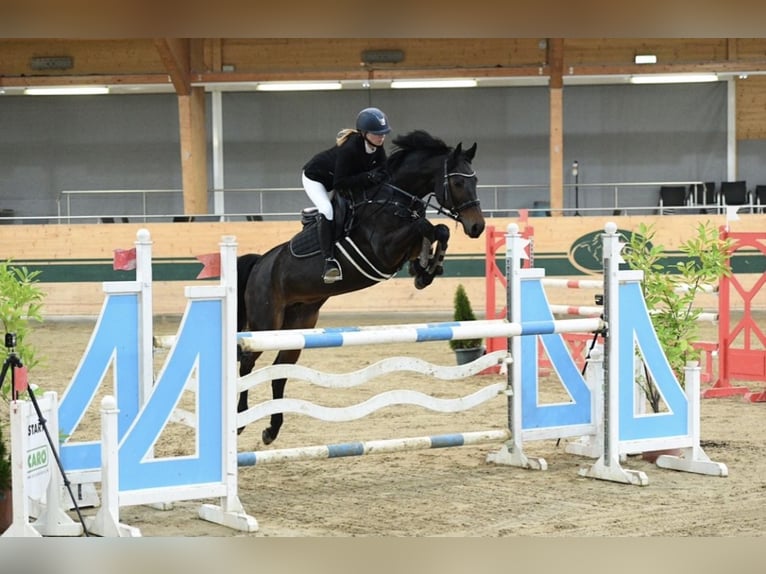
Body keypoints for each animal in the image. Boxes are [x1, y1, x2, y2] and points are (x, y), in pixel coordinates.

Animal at [237, 129, 486, 446]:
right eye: (457, 182)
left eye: (474, 180)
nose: (477, 227)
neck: (394, 198)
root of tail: (259, 263)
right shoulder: (383, 250)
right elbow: (426, 227)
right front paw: (426, 267)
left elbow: (435, 231)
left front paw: (426, 270)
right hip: (265, 322)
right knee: (247, 363)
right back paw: (240, 420)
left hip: (298, 323)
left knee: (280, 370)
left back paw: (272, 429)